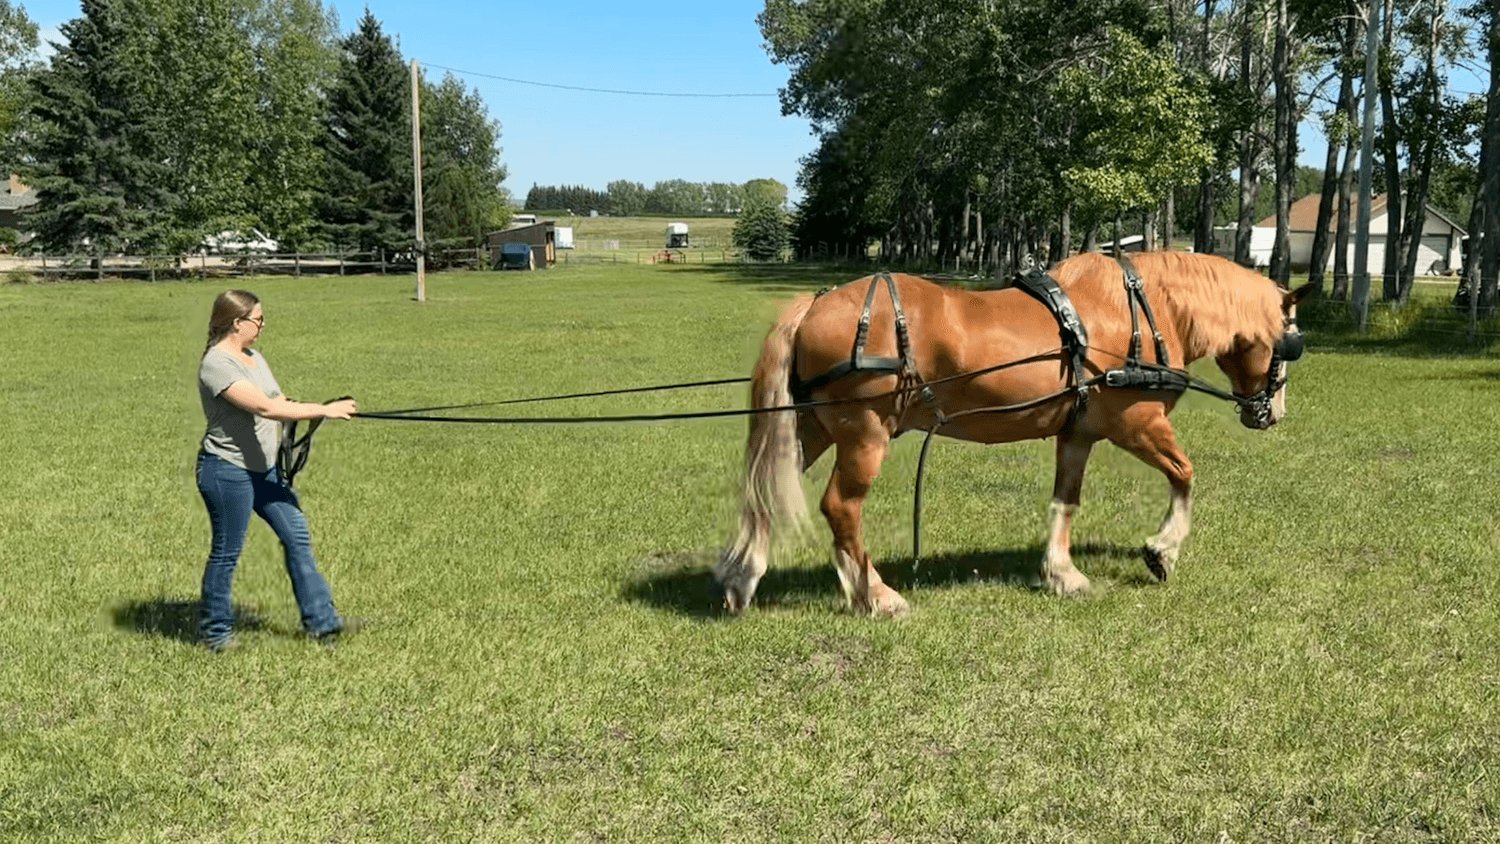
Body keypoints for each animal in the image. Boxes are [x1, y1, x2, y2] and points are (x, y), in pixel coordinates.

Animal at [715, 250, 1310, 616]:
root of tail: (815, 302)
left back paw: (742, 579)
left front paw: (1062, 573)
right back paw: (876, 593)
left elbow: (1066, 501)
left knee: (767, 489)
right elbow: (1185, 475)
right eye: (1291, 344)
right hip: (864, 433)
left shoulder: (1079, 431)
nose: (1271, 413)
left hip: (810, 426)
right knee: (841, 506)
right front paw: (1162, 550)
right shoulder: (1137, 422)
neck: (1142, 308)